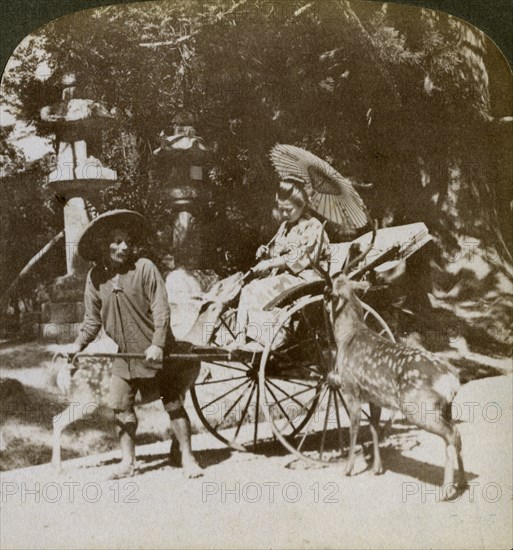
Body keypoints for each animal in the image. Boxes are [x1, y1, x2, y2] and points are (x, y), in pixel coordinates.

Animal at [310, 222, 466, 502]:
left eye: (327, 293)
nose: (322, 306)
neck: (348, 338)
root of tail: (452, 381)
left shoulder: (350, 388)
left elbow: (353, 428)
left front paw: (348, 469)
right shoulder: (374, 397)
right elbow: (373, 428)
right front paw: (377, 468)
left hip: (419, 407)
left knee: (451, 434)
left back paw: (446, 490)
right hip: (445, 408)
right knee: (456, 434)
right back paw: (463, 483)